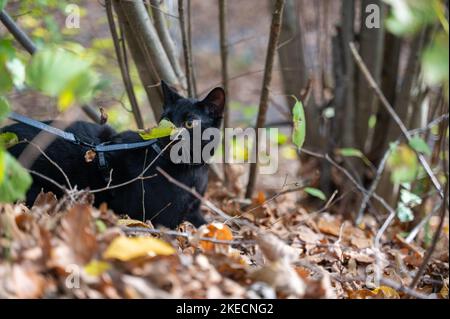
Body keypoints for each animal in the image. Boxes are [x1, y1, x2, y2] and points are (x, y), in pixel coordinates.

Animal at [3, 81, 225, 229]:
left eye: (190, 123)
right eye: (166, 120)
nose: (169, 137)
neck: (191, 172)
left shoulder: (194, 212)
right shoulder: (163, 220)